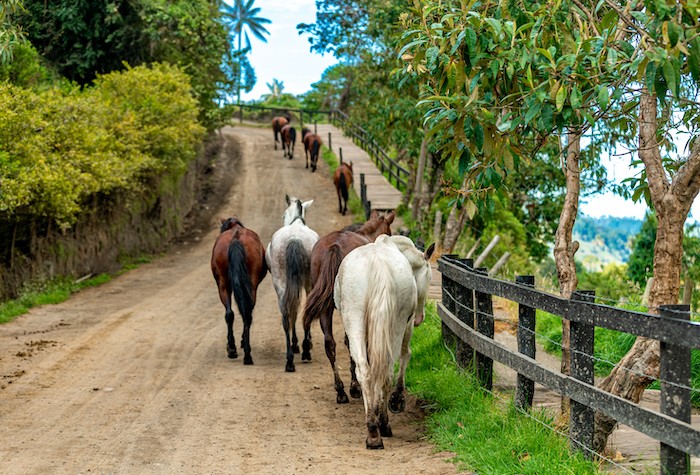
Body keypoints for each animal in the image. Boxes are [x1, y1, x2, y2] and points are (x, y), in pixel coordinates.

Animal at [211, 216, 268, 364]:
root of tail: (236, 238)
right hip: (249, 286)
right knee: (244, 314)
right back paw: (245, 353)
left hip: (224, 285)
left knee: (231, 313)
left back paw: (234, 348)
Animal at [266, 195, 320, 374]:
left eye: (283, 215)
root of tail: (294, 238)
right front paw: (304, 343)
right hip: (309, 282)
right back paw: (305, 351)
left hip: (281, 283)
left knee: (286, 315)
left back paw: (290, 360)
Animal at [302, 210, 396, 404]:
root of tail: (335, 245)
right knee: (349, 342)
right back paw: (353, 387)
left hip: (326, 309)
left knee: (329, 344)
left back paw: (340, 390)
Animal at [332, 236, 432, 448]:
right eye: (429, 278)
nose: (420, 317)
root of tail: (377, 263)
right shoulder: (407, 324)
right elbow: (406, 354)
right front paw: (396, 398)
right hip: (397, 323)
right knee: (387, 371)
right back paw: (383, 425)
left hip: (355, 320)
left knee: (365, 370)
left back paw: (372, 429)